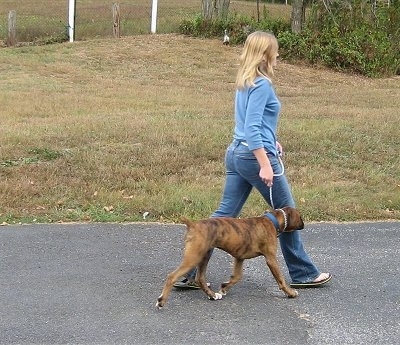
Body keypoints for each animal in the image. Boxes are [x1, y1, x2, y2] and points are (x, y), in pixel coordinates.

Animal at [156, 206, 304, 308]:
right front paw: (290, 293)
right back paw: (161, 301)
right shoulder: (271, 259)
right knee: (172, 276)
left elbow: (237, 276)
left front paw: (224, 287)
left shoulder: (239, 258)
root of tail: (193, 224)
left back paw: (212, 295)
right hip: (194, 257)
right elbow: (281, 279)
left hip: (204, 256)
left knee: (200, 278)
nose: (303, 225)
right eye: (300, 217)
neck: (273, 220)